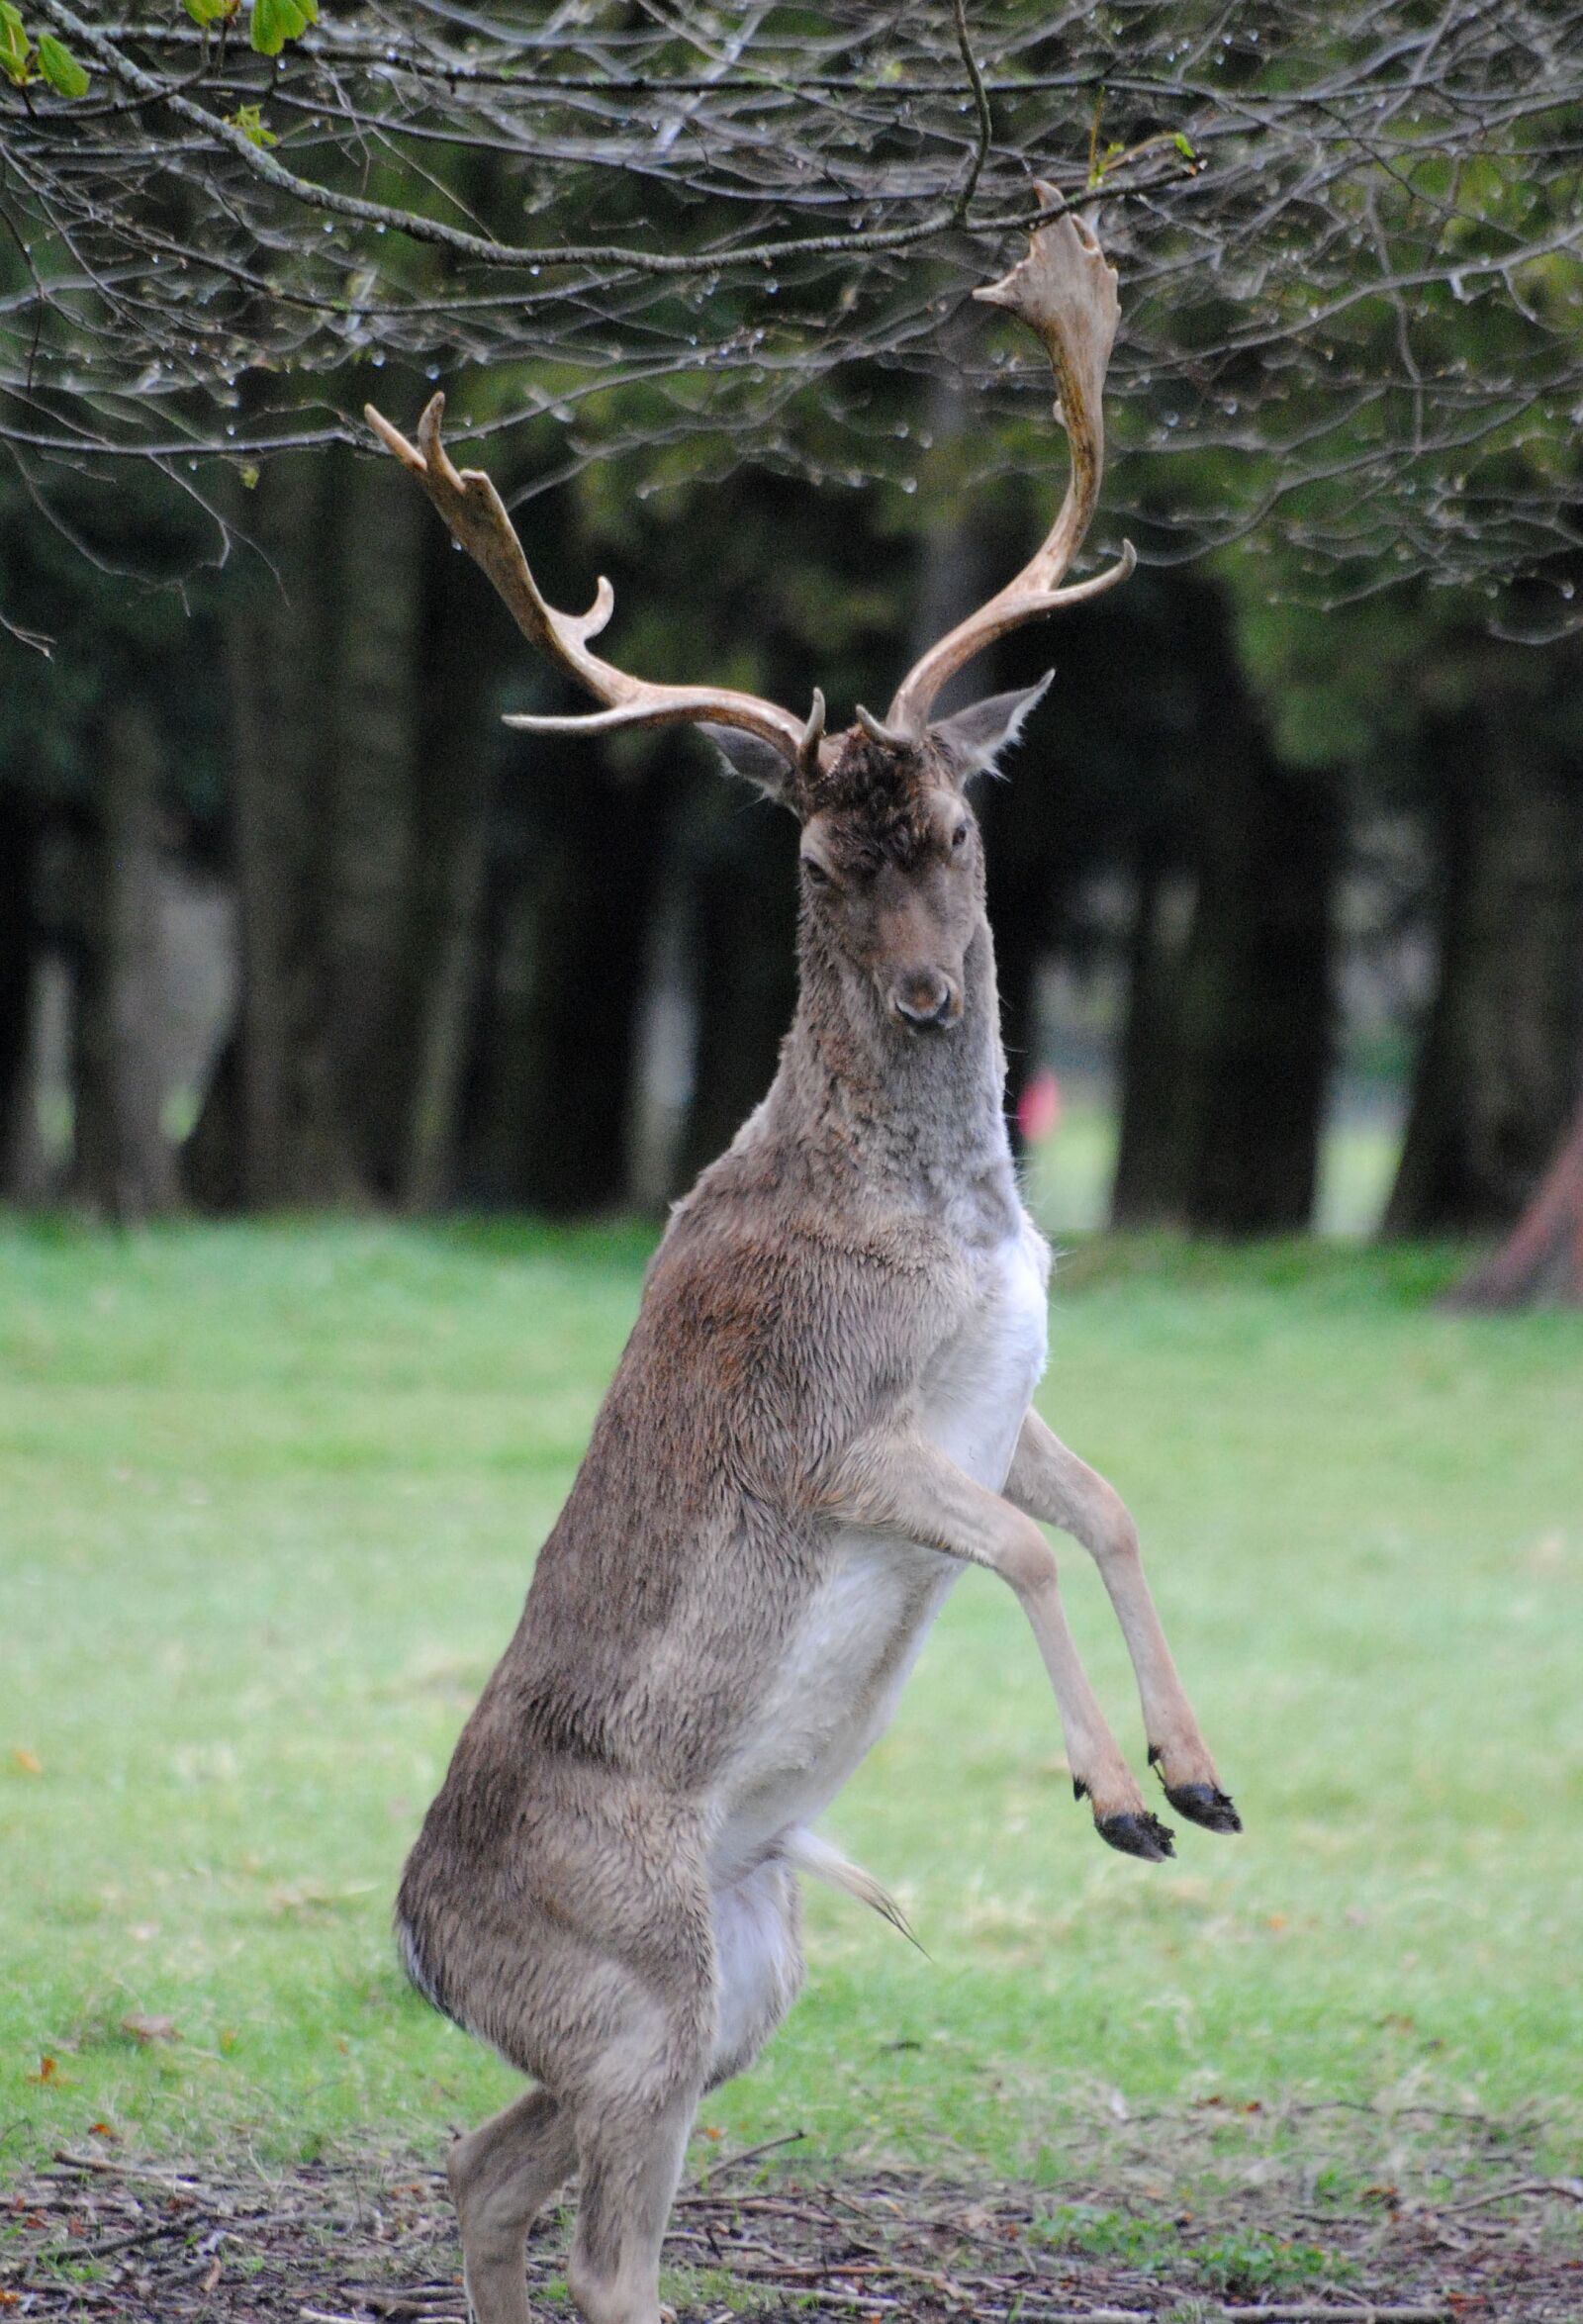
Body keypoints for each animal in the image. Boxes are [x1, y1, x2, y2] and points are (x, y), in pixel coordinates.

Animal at [366, 192, 1239, 2324]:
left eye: (957, 825)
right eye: (823, 864)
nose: (929, 996)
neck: (957, 1225)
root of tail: (417, 1948)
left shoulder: (1001, 1398)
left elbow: (1105, 1510)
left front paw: (1196, 1777)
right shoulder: (838, 1430)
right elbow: (1019, 1547)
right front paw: (1110, 1804)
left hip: (745, 1980)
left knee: (476, 2167)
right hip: (639, 2002)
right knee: (599, 2240)